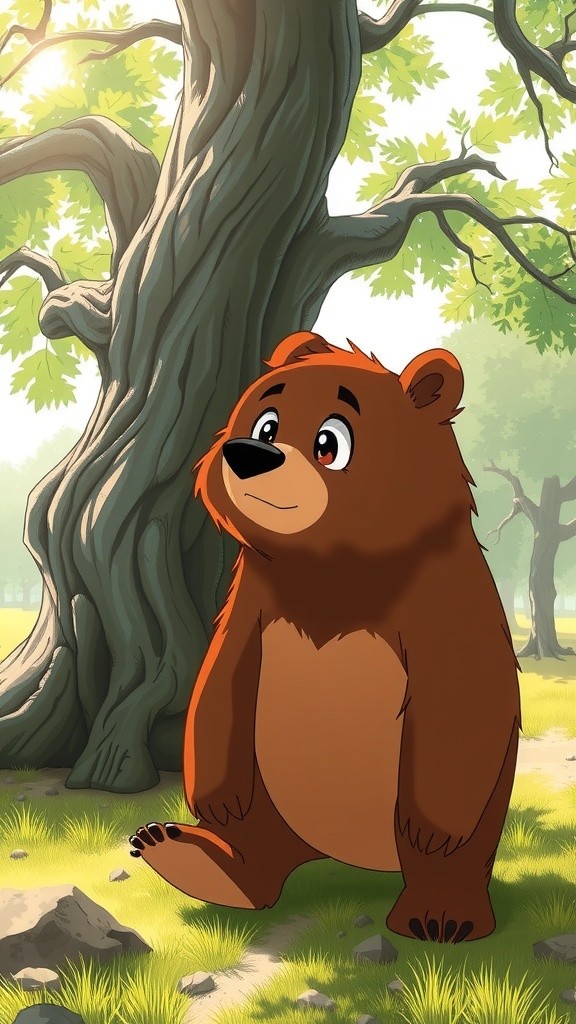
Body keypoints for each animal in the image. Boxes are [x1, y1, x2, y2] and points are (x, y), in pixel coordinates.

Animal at [130, 330, 521, 943]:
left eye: (330, 442)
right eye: (267, 422)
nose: (249, 453)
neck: (330, 569)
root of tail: (343, 854)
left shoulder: (447, 602)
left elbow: (463, 705)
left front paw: (434, 830)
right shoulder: (252, 601)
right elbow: (220, 680)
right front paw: (212, 799)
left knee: (449, 857)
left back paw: (441, 914)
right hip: (270, 793)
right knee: (255, 843)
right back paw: (192, 858)